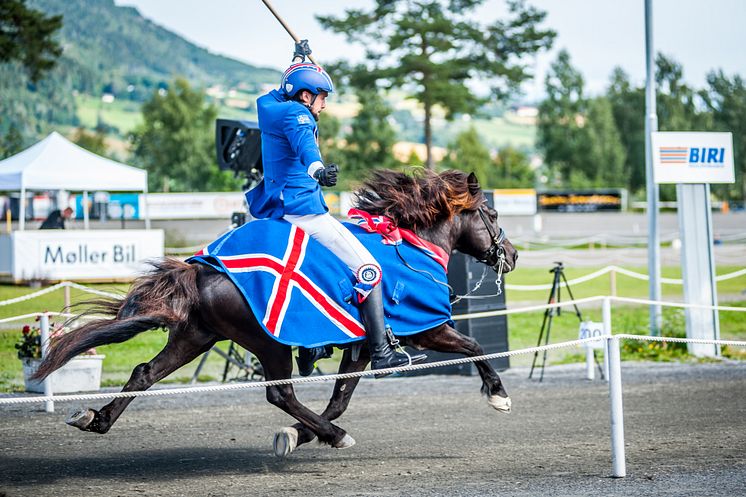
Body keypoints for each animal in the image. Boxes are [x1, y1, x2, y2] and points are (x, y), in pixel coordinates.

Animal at [35, 170, 516, 458]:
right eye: (492, 214)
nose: (511, 255)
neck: (411, 247)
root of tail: (203, 268)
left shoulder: (360, 347)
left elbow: (340, 399)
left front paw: (300, 434)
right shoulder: (427, 329)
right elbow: (473, 345)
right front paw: (498, 395)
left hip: (196, 337)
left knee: (144, 373)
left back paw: (97, 419)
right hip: (268, 342)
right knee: (280, 394)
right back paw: (332, 435)